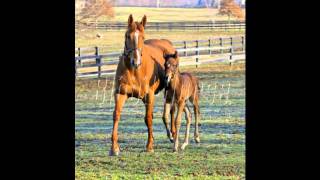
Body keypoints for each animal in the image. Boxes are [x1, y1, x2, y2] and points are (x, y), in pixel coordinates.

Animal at [109, 14, 176, 155]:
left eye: (143, 37)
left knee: (171, 110)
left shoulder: (149, 96)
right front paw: (114, 148)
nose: (136, 61)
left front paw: (149, 146)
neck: (135, 71)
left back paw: (172, 134)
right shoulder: (120, 93)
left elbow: (148, 118)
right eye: (127, 36)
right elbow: (116, 115)